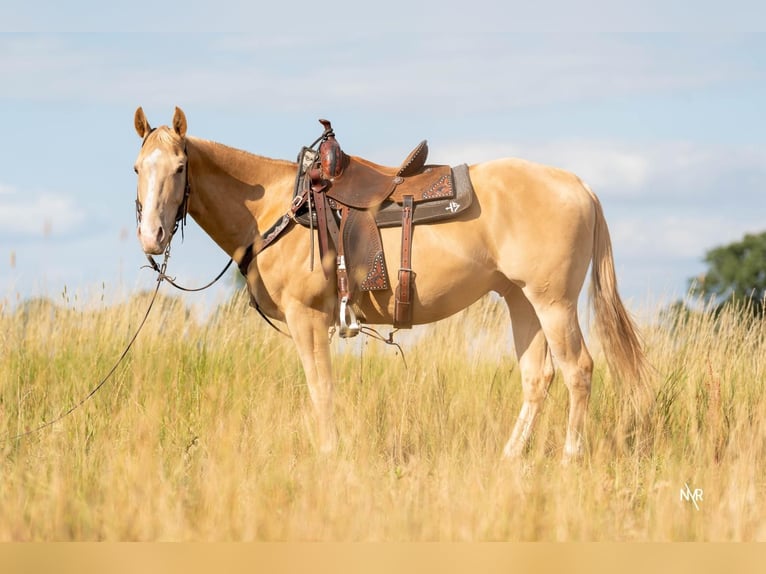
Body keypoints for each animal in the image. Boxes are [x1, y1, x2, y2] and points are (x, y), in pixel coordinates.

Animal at [132, 106, 647, 463]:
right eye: (138, 169)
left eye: (180, 168)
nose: (151, 236)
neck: (279, 206)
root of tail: (580, 185)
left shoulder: (307, 317)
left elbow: (321, 389)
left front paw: (329, 455)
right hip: (522, 301)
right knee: (537, 378)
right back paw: (509, 457)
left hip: (554, 303)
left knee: (578, 370)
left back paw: (569, 459)